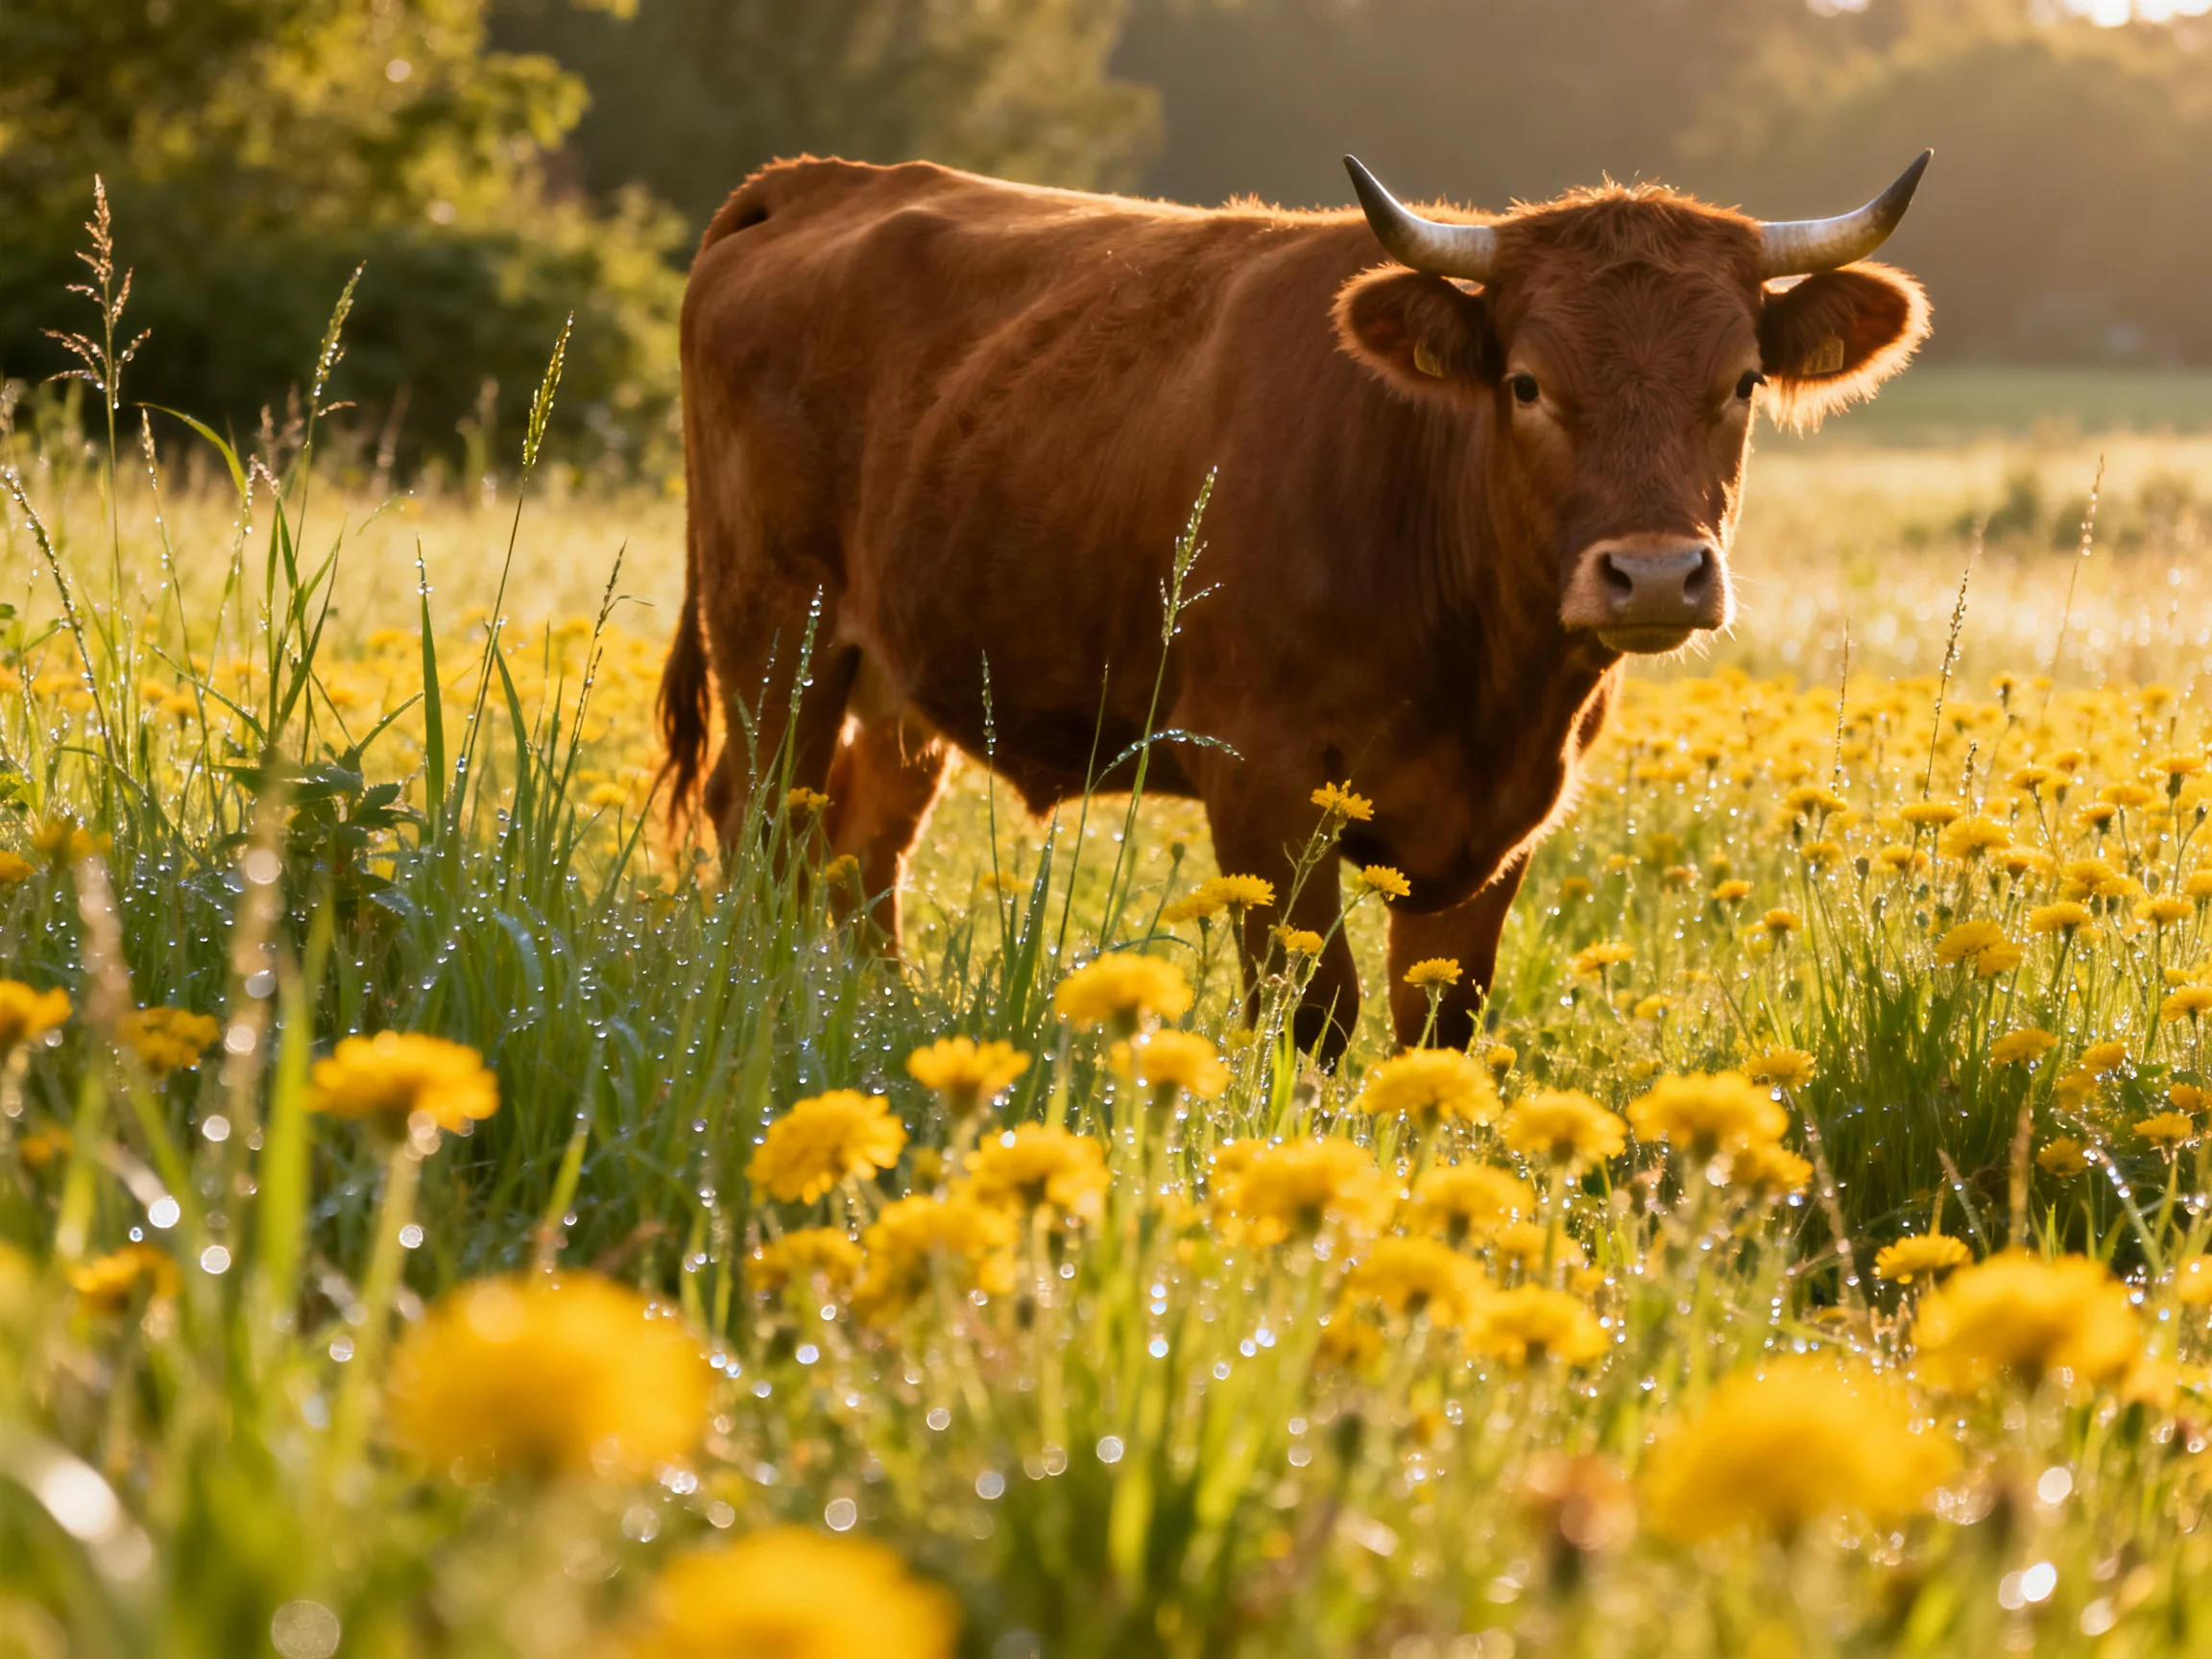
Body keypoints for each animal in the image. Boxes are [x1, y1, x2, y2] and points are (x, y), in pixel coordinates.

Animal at [659, 151, 1931, 1057]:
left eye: (1743, 382)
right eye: (1526, 383)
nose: (1658, 572)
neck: (1492, 688)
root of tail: (817, 179)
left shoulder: (1506, 825)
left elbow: (1440, 1021)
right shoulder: (1261, 784)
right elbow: (1313, 1010)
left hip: (899, 675)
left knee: (860, 850)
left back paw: (877, 1010)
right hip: (775, 629)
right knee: (760, 821)